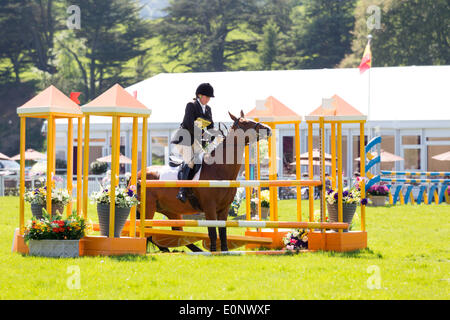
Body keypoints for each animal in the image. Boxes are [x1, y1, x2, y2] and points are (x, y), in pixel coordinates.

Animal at [136, 111, 270, 251]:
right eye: (245, 123)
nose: (268, 129)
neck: (219, 169)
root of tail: (139, 174)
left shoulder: (224, 208)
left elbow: (222, 232)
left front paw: (224, 251)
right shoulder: (209, 206)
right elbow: (212, 231)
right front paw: (213, 251)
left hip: (170, 211)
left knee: (174, 232)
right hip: (148, 208)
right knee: (146, 232)